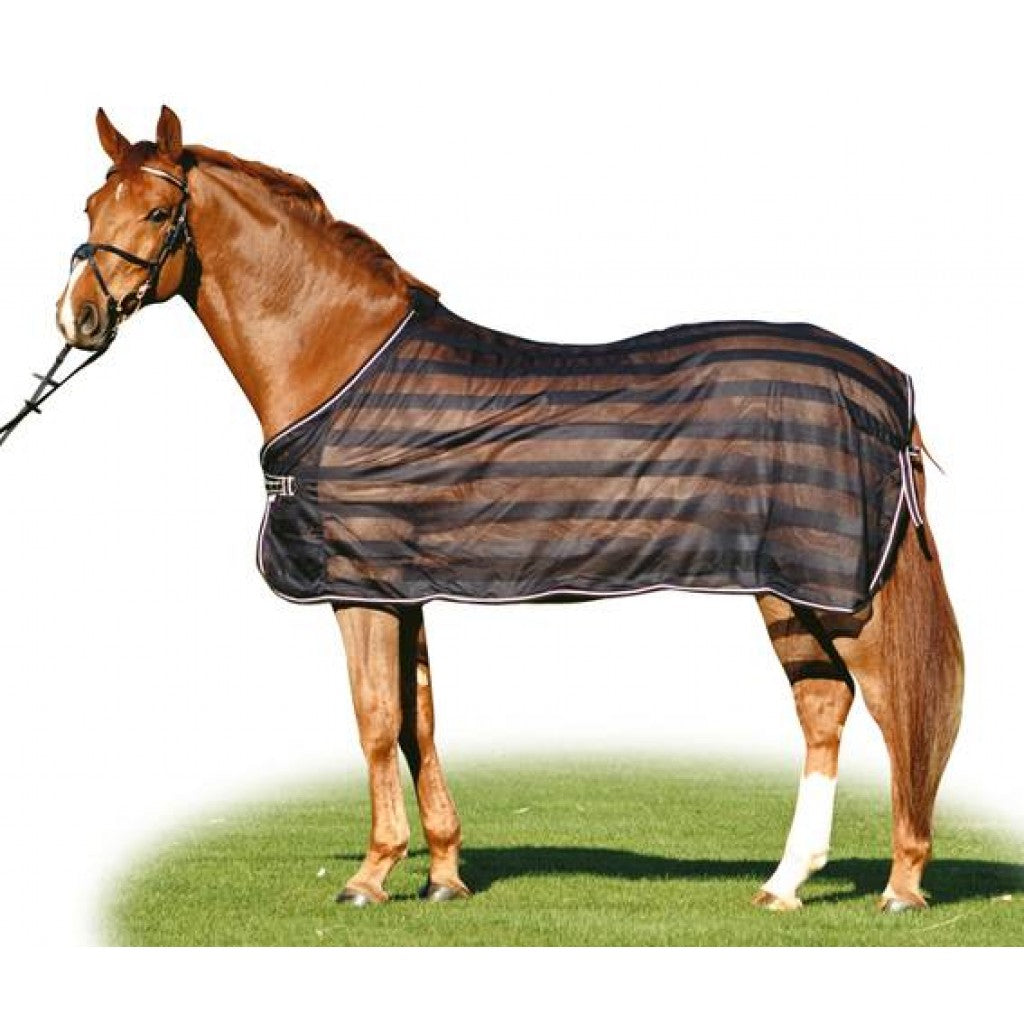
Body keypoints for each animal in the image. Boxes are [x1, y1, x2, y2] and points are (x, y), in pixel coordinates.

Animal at [53, 106, 963, 913]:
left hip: (839, 589)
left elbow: (375, 719)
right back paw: (784, 885)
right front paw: (443, 875)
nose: (77, 317)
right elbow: (419, 721)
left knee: (895, 707)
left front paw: (370, 877)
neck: (340, 361)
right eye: (92, 207)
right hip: (788, 585)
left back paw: (901, 886)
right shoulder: (401, 591)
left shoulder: (354, 589)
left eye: (159, 211)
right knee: (824, 707)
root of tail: (884, 383)